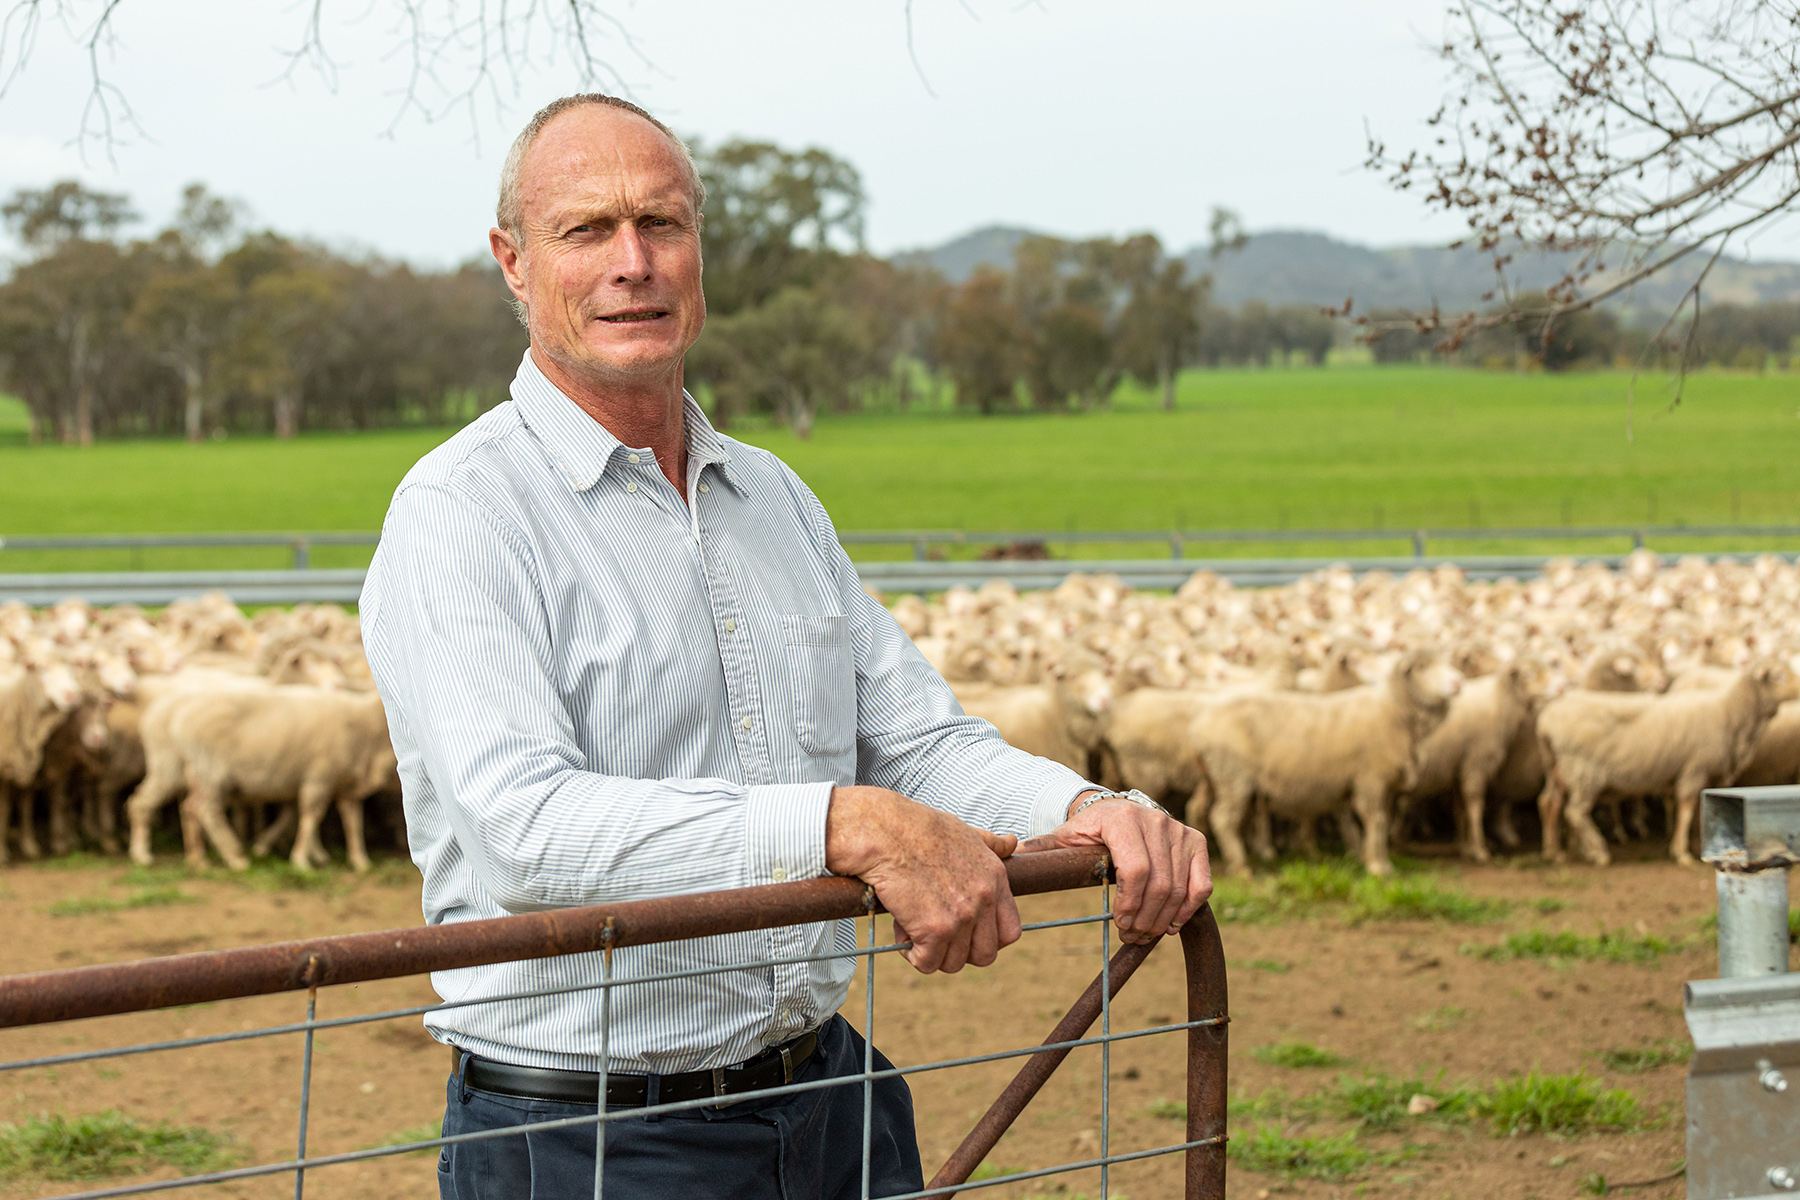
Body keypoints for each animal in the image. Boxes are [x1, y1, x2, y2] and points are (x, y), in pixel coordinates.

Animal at [1195, 651, 1461, 877]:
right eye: (1423, 667)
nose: (1458, 682)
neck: (1393, 710)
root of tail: (1202, 725)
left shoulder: (1384, 785)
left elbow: (1381, 823)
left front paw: (1379, 860)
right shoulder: (1370, 778)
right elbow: (1376, 820)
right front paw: (1377, 867)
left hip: (1215, 778)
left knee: (1200, 809)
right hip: (1233, 777)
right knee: (1223, 819)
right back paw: (1240, 867)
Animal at [1533, 662, 1800, 867]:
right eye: (1778, 675)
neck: (1730, 713)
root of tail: (1546, 721)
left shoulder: (1703, 774)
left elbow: (1697, 810)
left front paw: (1699, 842)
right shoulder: (1694, 768)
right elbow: (1687, 808)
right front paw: (1681, 852)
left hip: (1558, 770)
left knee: (1549, 802)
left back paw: (1553, 851)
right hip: (1584, 772)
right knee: (1575, 812)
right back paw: (1598, 852)